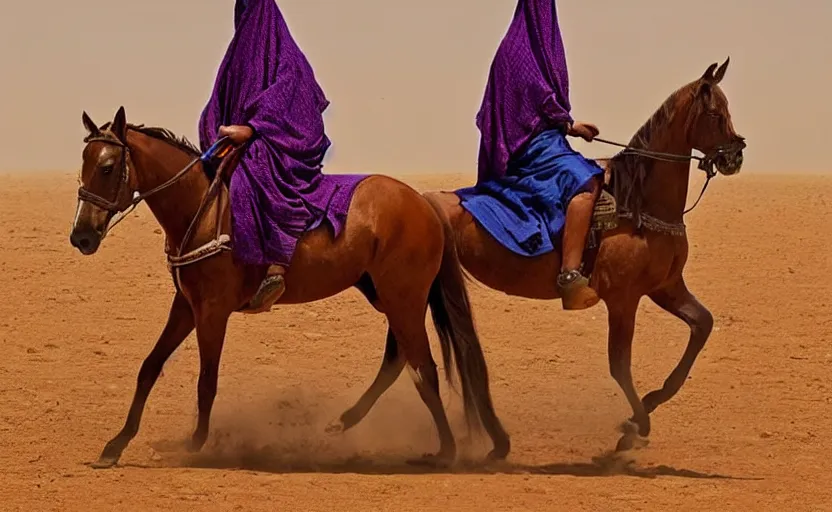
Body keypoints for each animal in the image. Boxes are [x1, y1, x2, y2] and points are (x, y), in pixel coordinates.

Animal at [71, 107, 510, 468]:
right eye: (84, 164)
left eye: (107, 166)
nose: (82, 236)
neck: (203, 208)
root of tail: (422, 203)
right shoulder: (186, 304)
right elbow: (149, 367)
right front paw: (115, 446)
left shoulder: (213, 310)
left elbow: (206, 379)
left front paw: (194, 443)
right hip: (387, 295)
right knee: (399, 358)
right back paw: (345, 422)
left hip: (404, 297)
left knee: (425, 368)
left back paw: (446, 451)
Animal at [422, 61, 748, 452]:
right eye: (715, 113)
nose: (735, 157)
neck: (637, 202)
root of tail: (429, 201)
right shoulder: (623, 299)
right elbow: (619, 365)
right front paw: (635, 426)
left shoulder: (666, 287)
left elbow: (702, 324)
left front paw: (650, 404)